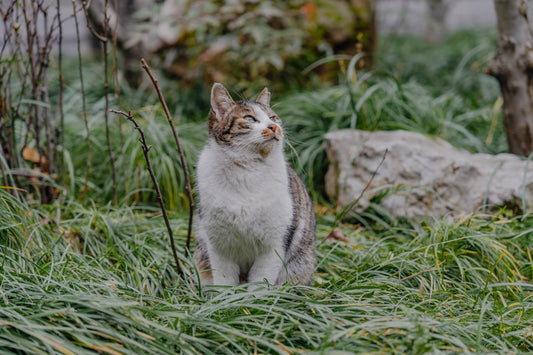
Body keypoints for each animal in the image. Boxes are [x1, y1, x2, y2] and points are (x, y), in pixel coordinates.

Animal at [193, 84, 314, 292]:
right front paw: (226, 300)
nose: (274, 126)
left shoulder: (274, 242)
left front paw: (254, 300)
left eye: (273, 118)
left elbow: (260, 282)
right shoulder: (218, 244)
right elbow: (224, 281)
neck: (247, 171)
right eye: (249, 119)